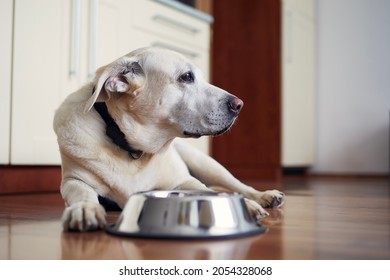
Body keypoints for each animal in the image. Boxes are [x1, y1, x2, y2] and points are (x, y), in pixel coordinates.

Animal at [53, 47, 284, 232]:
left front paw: (247, 205)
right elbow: (82, 193)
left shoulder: (184, 181)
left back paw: (263, 196)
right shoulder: (73, 181)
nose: (239, 105)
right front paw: (85, 208)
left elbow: (205, 190)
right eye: (187, 76)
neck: (131, 146)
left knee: (236, 184)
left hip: (207, 165)